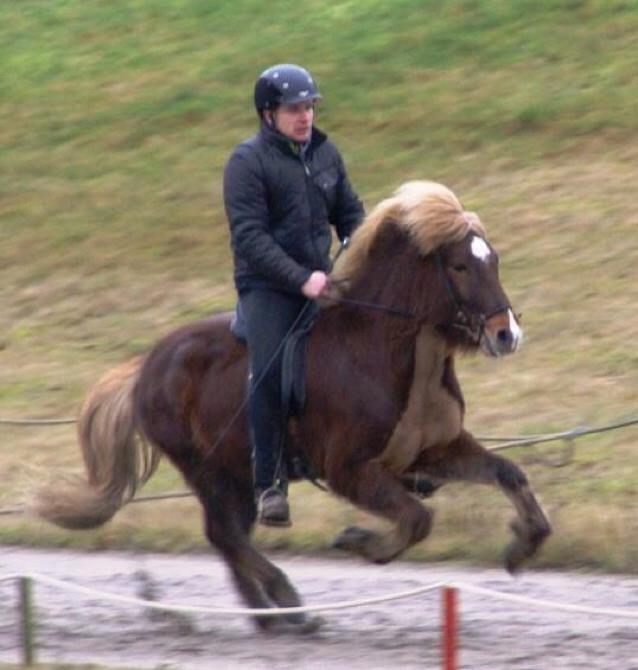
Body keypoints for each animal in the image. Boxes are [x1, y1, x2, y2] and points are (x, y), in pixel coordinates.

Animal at [35, 180, 552, 636]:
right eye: (461, 266)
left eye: (494, 260)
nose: (506, 335)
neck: (392, 351)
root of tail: (146, 365)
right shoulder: (349, 470)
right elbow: (416, 519)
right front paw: (357, 542)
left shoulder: (434, 453)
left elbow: (508, 474)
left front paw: (522, 544)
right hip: (208, 469)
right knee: (224, 535)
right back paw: (288, 605)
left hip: (236, 473)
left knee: (229, 538)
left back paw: (271, 617)